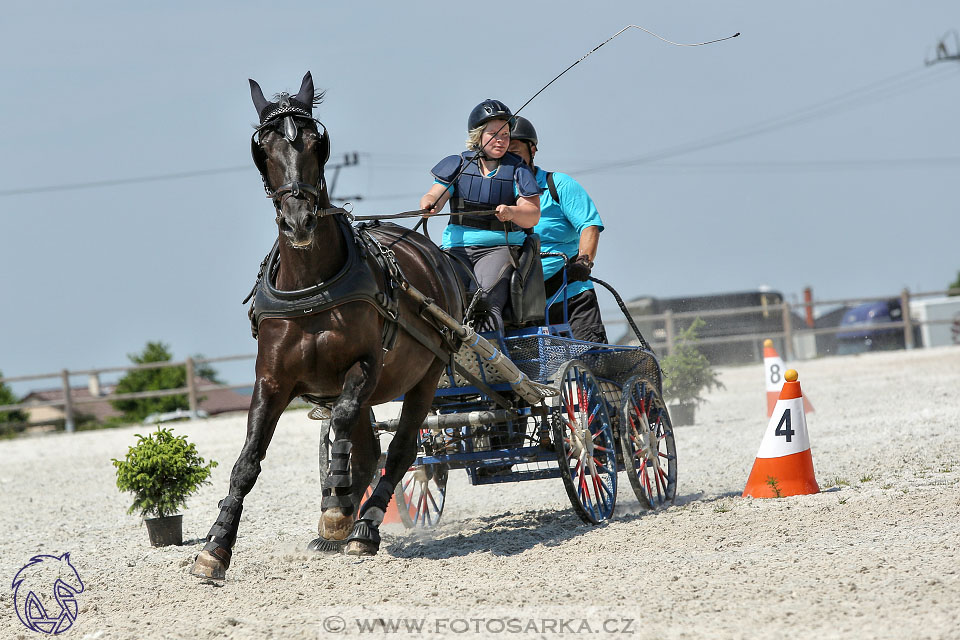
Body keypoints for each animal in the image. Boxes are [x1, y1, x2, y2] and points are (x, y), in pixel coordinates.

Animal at [188, 71, 464, 580]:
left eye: (319, 143)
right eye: (263, 147)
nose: (298, 221)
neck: (312, 285)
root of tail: (429, 247)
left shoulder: (364, 368)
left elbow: (344, 422)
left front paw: (335, 511)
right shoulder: (271, 381)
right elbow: (248, 460)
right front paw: (215, 547)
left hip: (427, 376)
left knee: (400, 451)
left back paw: (363, 528)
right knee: (370, 450)